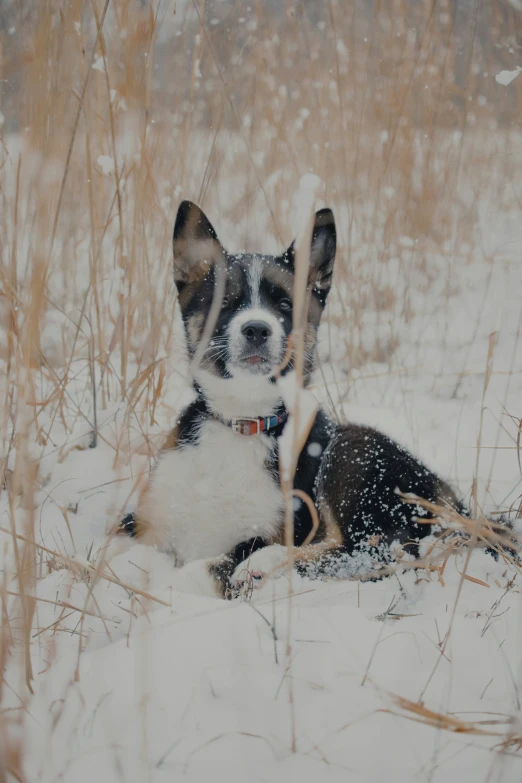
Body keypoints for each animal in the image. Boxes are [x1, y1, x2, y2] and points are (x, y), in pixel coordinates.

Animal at [118, 199, 468, 596]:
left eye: (285, 305)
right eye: (226, 302)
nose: (257, 329)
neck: (243, 422)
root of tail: (461, 505)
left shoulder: (274, 528)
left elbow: (208, 568)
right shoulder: (147, 523)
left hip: (353, 450)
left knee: (375, 550)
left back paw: (262, 565)